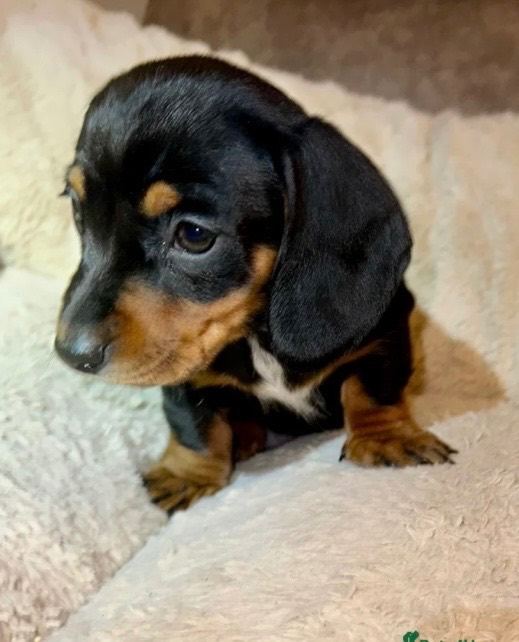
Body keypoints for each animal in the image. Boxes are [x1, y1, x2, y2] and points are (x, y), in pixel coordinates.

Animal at [55, 56, 456, 513]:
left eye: (194, 235)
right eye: (77, 209)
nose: (72, 354)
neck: (255, 332)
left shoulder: (384, 333)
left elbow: (373, 387)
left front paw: (386, 438)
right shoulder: (186, 368)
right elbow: (192, 421)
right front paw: (187, 473)